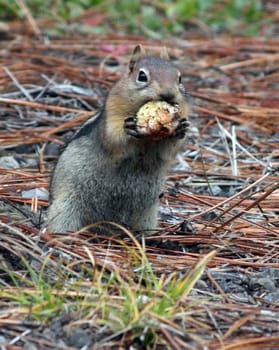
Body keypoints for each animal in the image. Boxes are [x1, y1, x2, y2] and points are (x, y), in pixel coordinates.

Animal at [48, 45, 191, 234]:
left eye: (179, 77)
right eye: (142, 76)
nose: (168, 94)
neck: (146, 140)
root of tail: (106, 227)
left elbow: (167, 151)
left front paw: (181, 128)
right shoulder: (112, 114)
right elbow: (114, 140)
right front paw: (128, 127)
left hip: (147, 214)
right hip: (65, 207)